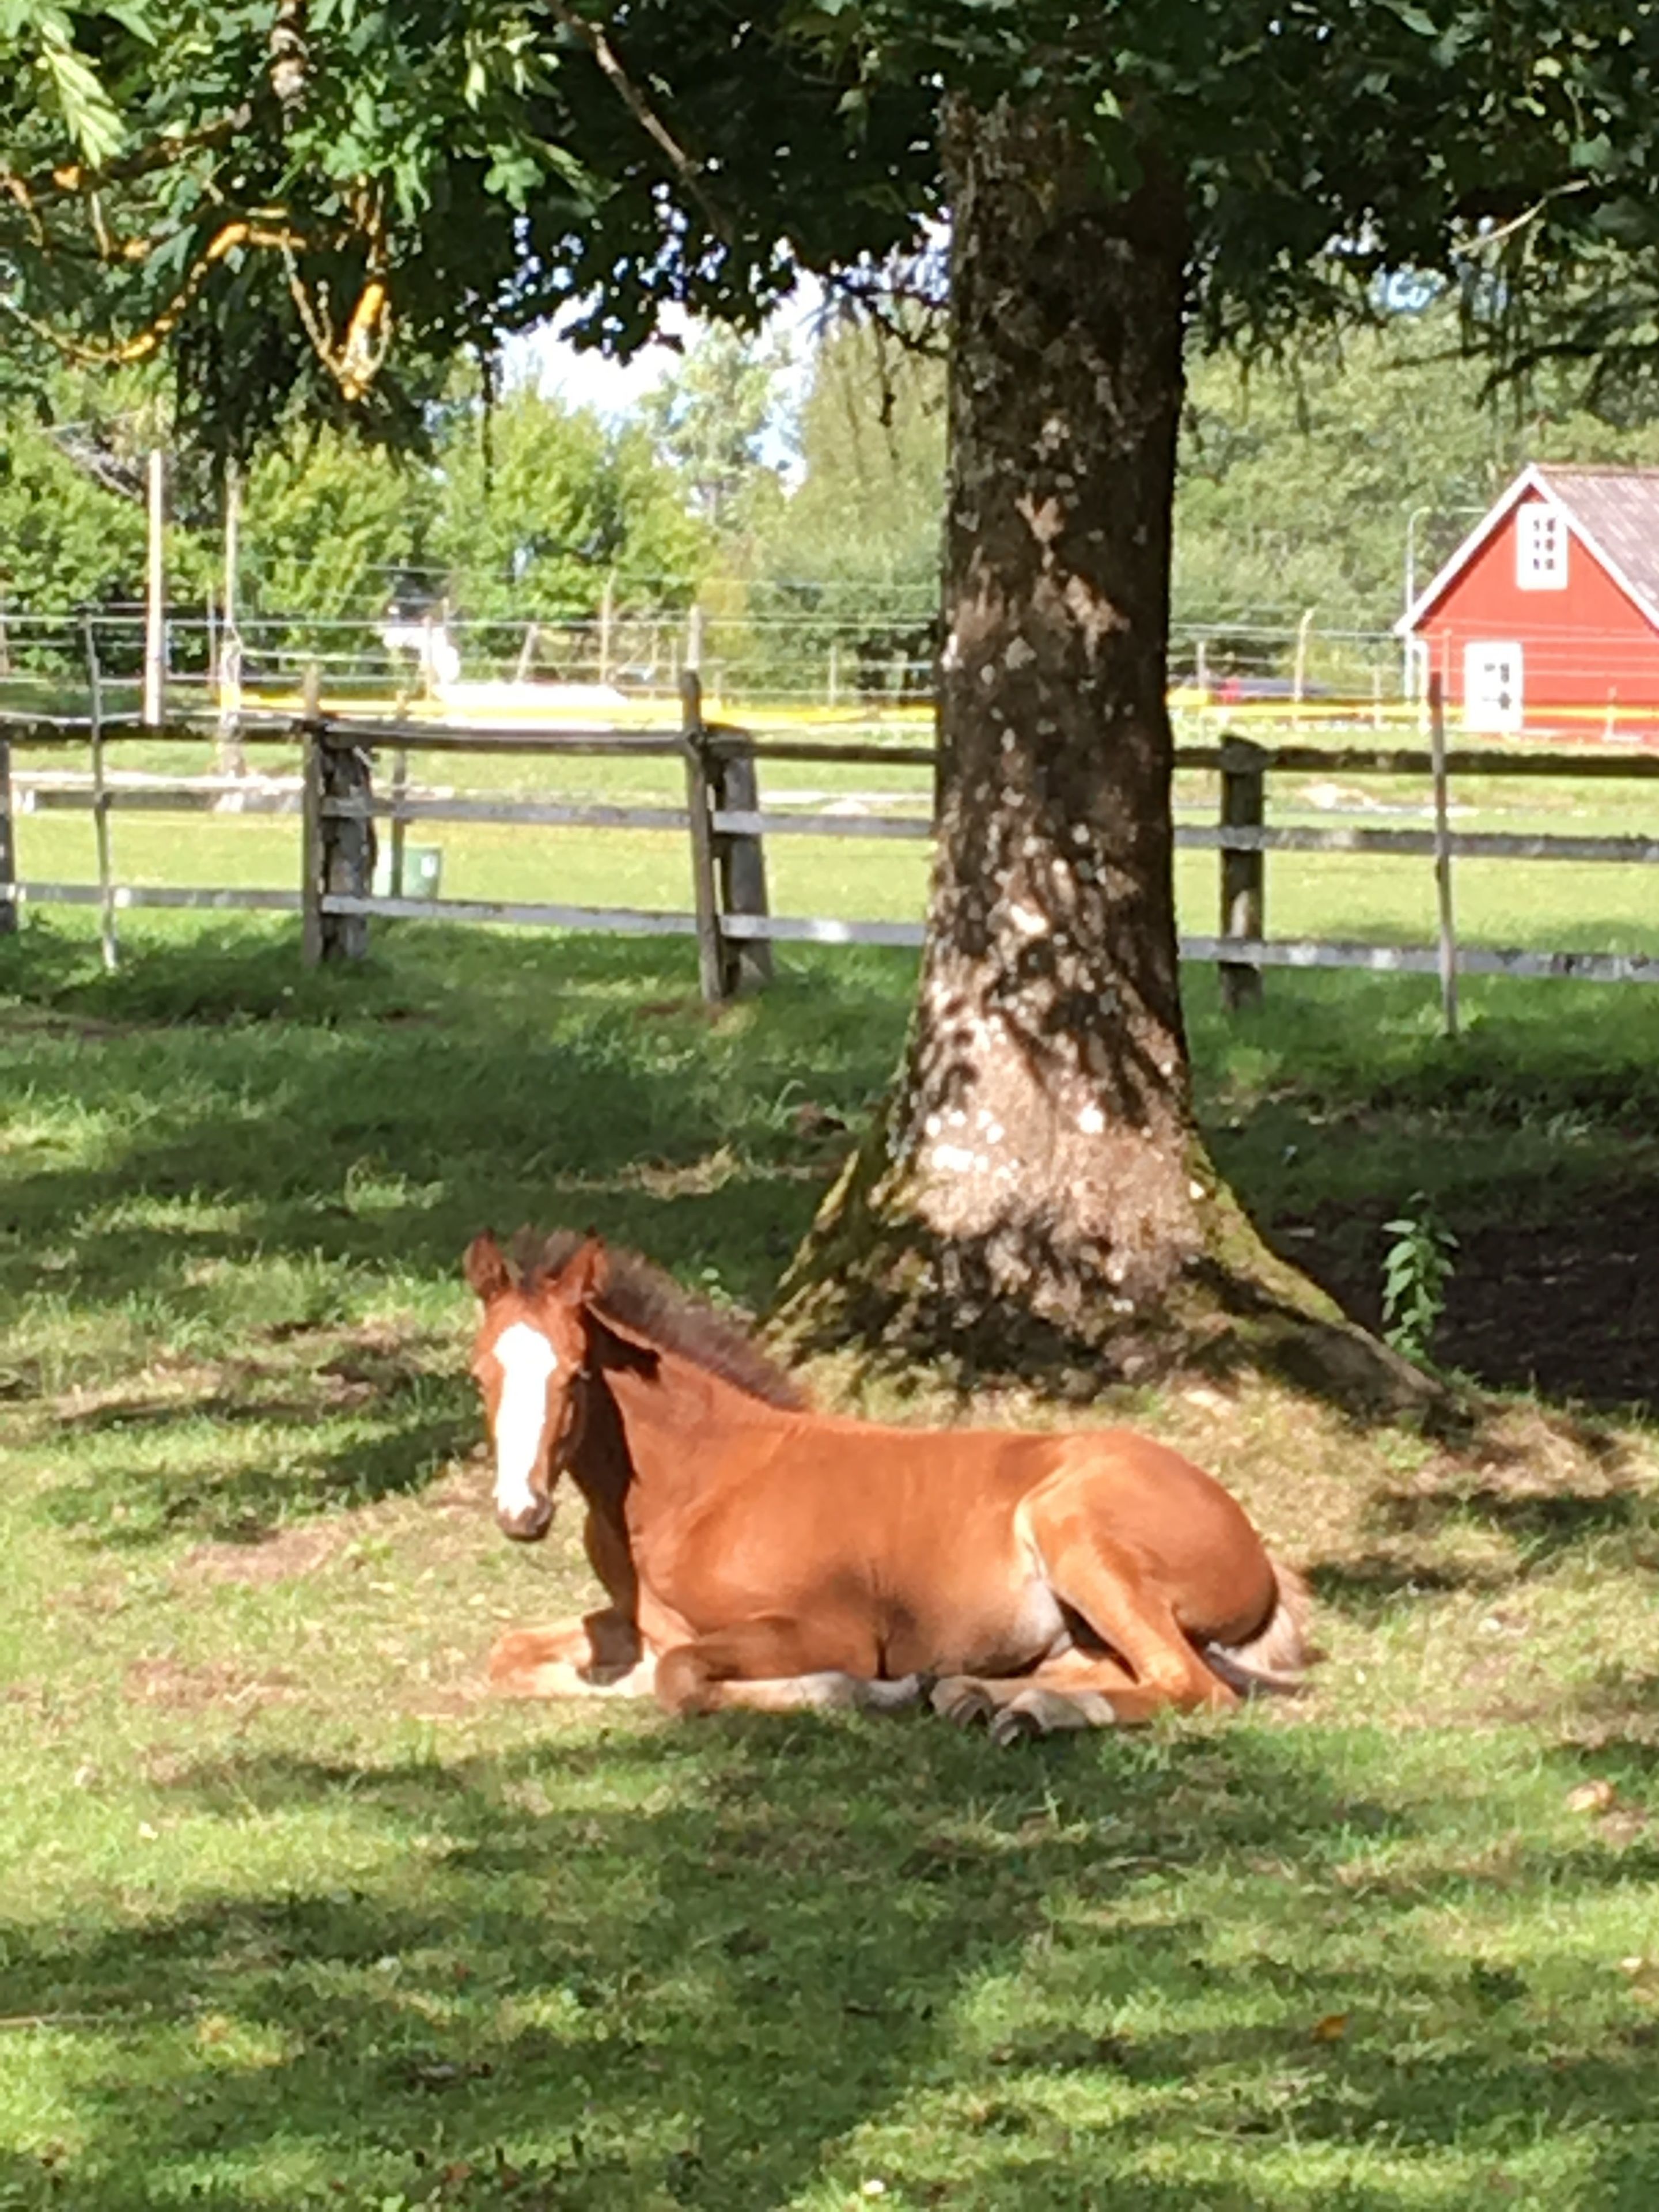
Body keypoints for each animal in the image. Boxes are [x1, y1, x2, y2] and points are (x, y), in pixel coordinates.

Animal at [463, 1228, 1310, 1743]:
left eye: (576, 1374)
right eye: (479, 1373)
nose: (521, 1513)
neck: (698, 1487)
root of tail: (1260, 1557)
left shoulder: (830, 1629)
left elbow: (683, 1678)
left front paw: (869, 1693)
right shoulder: (639, 1619)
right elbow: (511, 1656)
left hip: (1075, 1533)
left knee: (1189, 1683)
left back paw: (1016, 1709)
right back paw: (982, 1697)